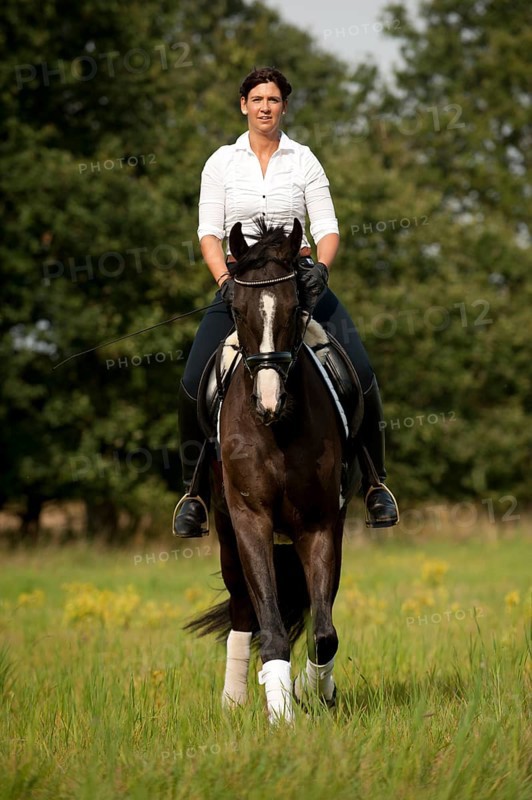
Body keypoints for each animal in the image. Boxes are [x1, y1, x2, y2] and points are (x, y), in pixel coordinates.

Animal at [186, 217, 360, 723]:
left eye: (293, 309)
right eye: (237, 310)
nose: (268, 402)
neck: (279, 431)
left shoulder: (321, 526)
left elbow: (324, 632)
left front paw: (310, 690)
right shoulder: (251, 520)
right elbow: (271, 623)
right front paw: (280, 714)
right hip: (226, 535)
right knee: (243, 609)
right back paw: (233, 698)